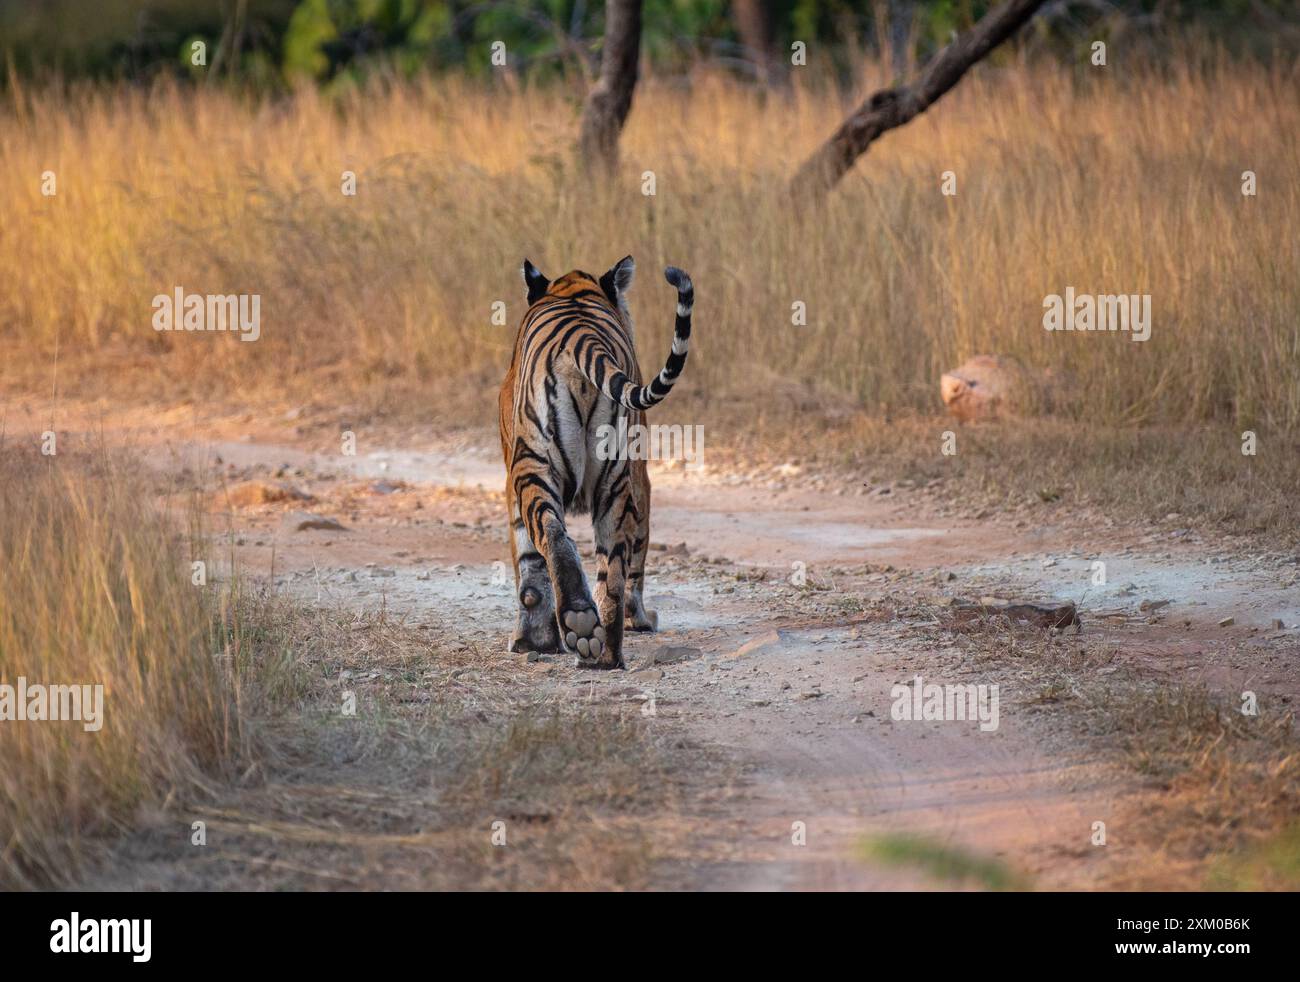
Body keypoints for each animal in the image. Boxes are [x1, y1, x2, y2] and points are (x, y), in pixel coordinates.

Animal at [498, 255, 694, 669]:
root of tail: (580, 333)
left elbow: (528, 554)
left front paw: (533, 641)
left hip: (542, 466)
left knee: (555, 535)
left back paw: (583, 624)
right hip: (613, 481)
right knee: (612, 570)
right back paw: (601, 651)